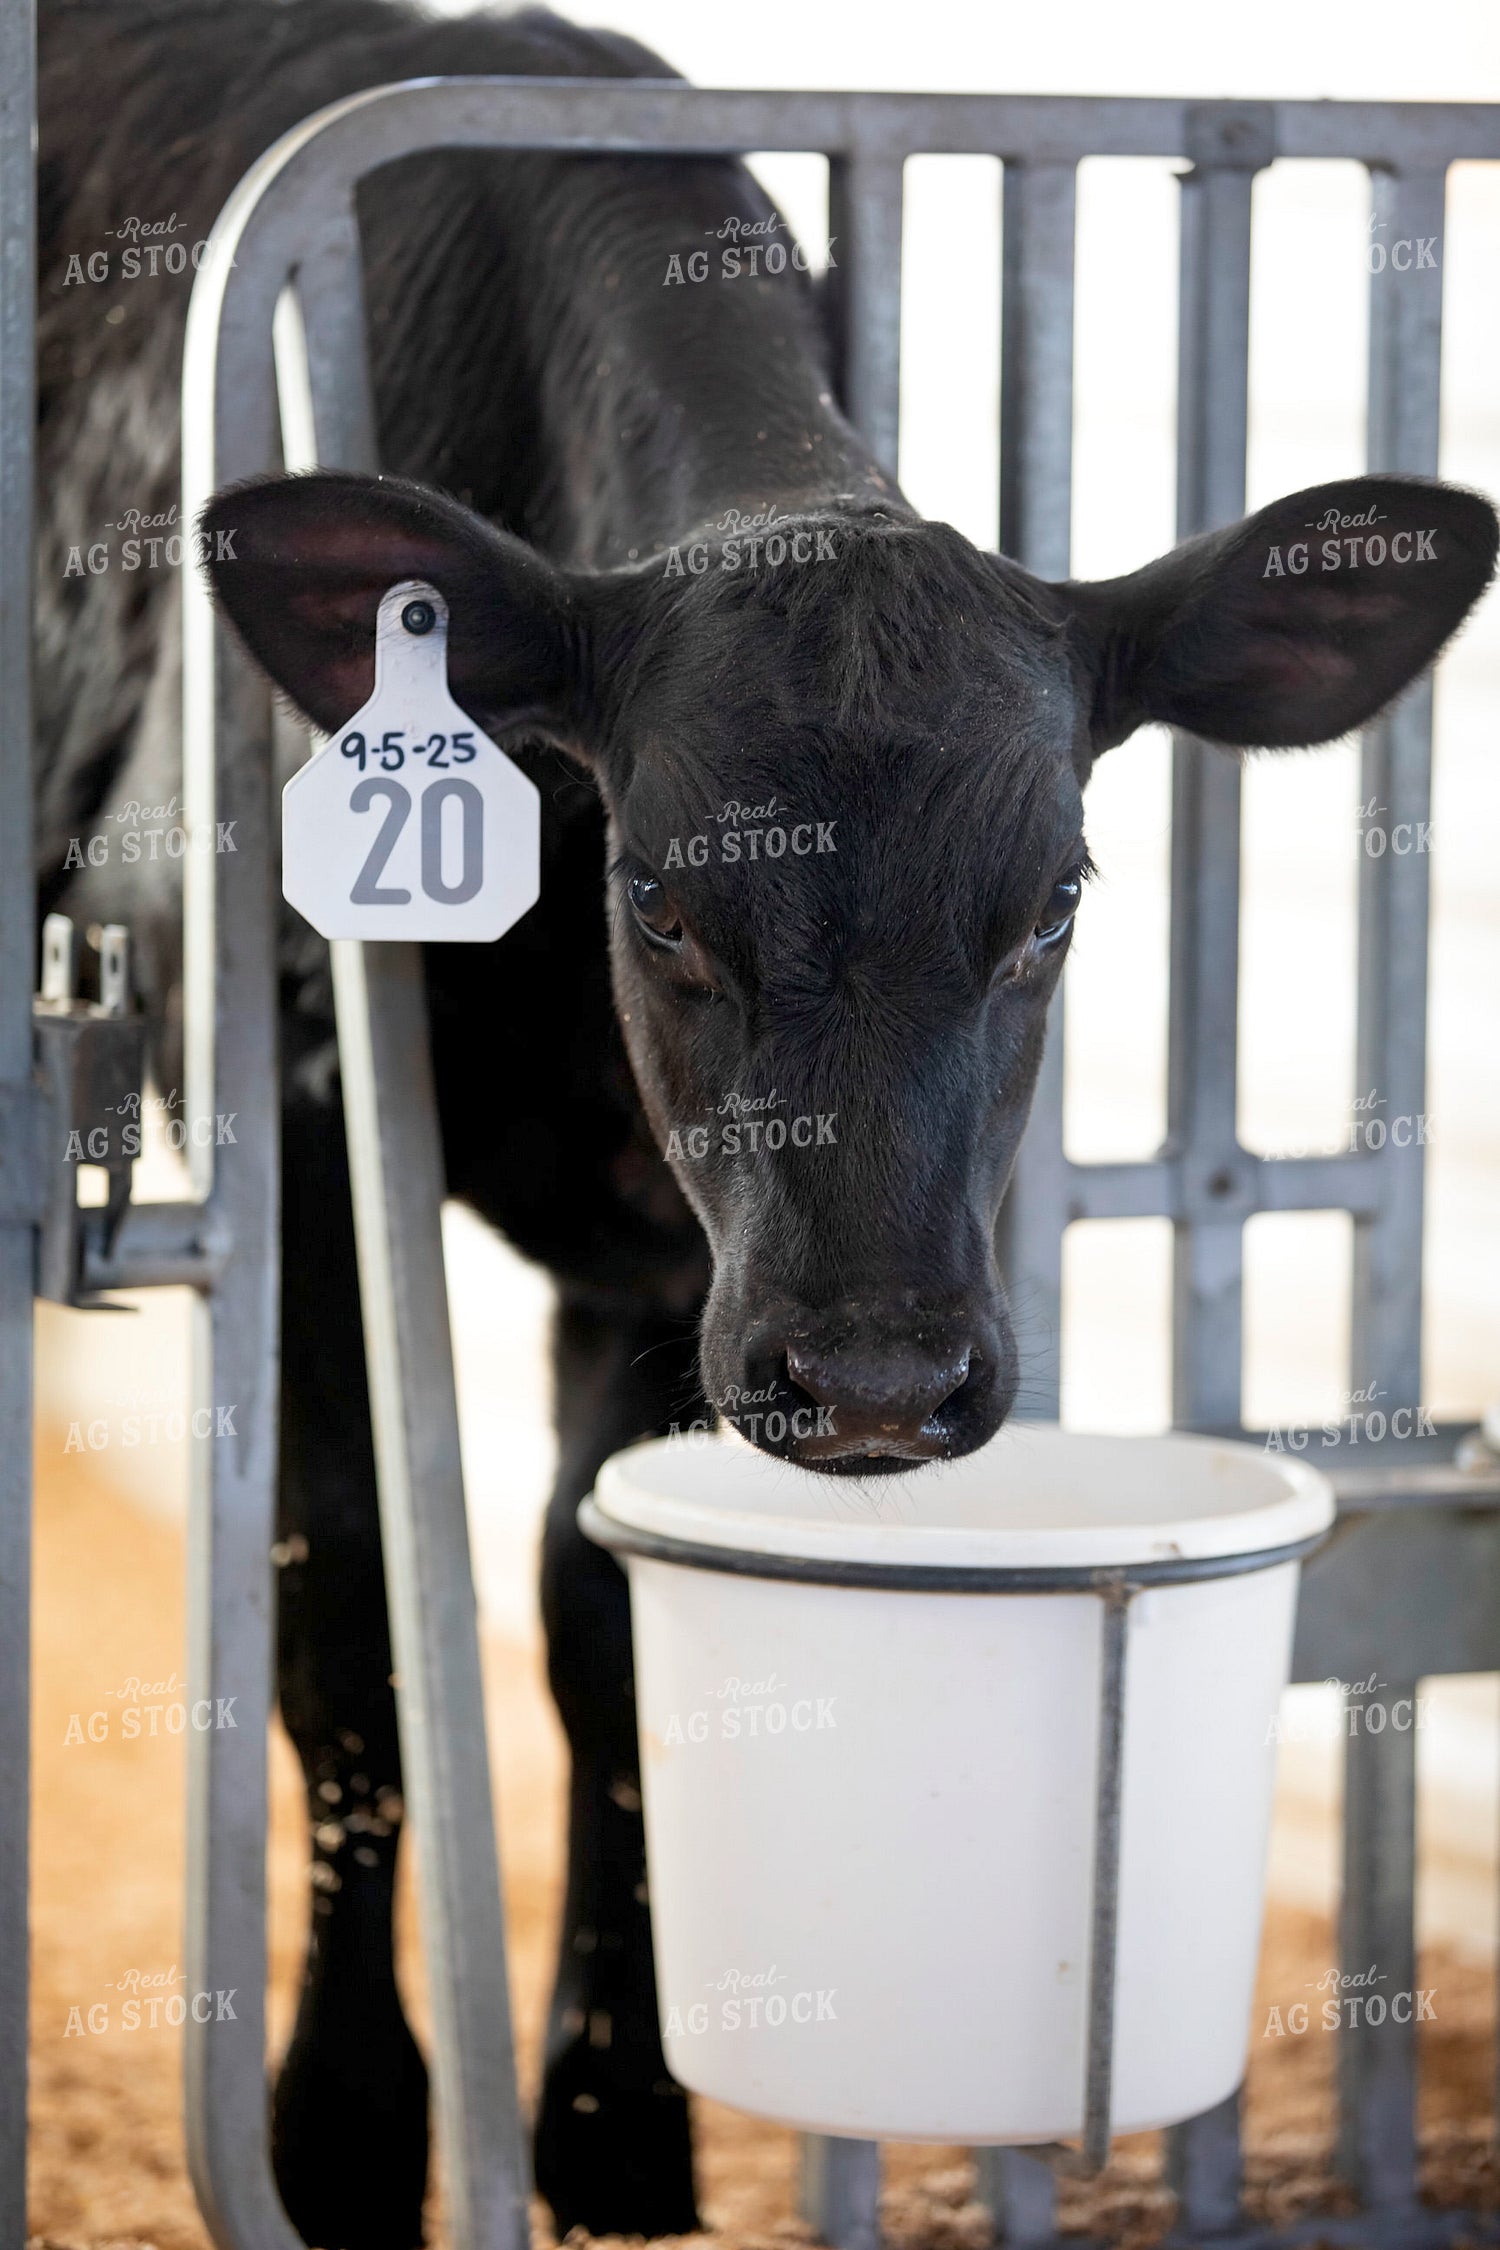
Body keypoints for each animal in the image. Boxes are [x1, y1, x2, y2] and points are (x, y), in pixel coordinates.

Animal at [36, 0, 1497, 2242]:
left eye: (1058, 900)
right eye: (660, 895)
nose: (881, 1373)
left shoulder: (682, 1254)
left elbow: (596, 1634)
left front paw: (618, 2119)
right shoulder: (277, 1116)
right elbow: (343, 1627)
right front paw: (347, 2134)